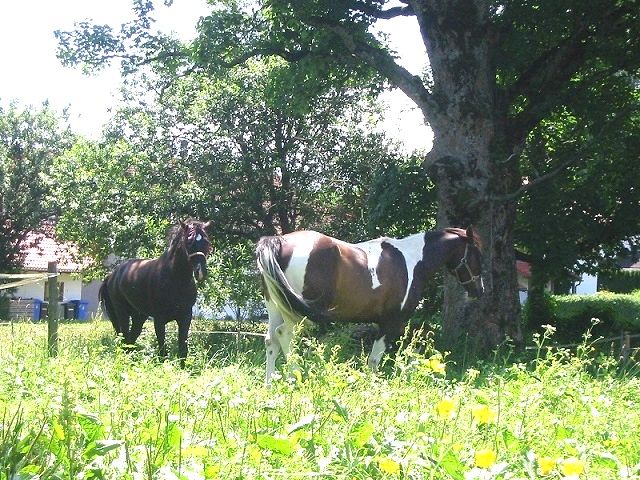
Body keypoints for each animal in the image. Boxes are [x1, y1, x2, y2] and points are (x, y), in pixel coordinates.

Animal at [254, 227, 480, 384]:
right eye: (475, 253)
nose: (479, 290)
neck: (411, 260)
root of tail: (280, 241)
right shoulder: (391, 322)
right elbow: (374, 360)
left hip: (275, 307)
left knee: (271, 340)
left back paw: (269, 384)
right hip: (294, 314)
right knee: (284, 334)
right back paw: (294, 378)